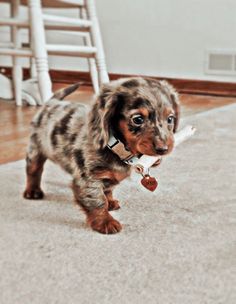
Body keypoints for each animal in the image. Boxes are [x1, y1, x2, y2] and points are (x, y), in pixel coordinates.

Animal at [23, 77, 179, 234]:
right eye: (138, 119)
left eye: (170, 119)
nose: (163, 149)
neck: (116, 147)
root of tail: (51, 103)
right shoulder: (88, 179)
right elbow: (97, 200)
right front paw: (105, 221)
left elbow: (108, 190)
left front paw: (110, 202)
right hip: (35, 150)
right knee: (34, 171)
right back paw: (32, 191)